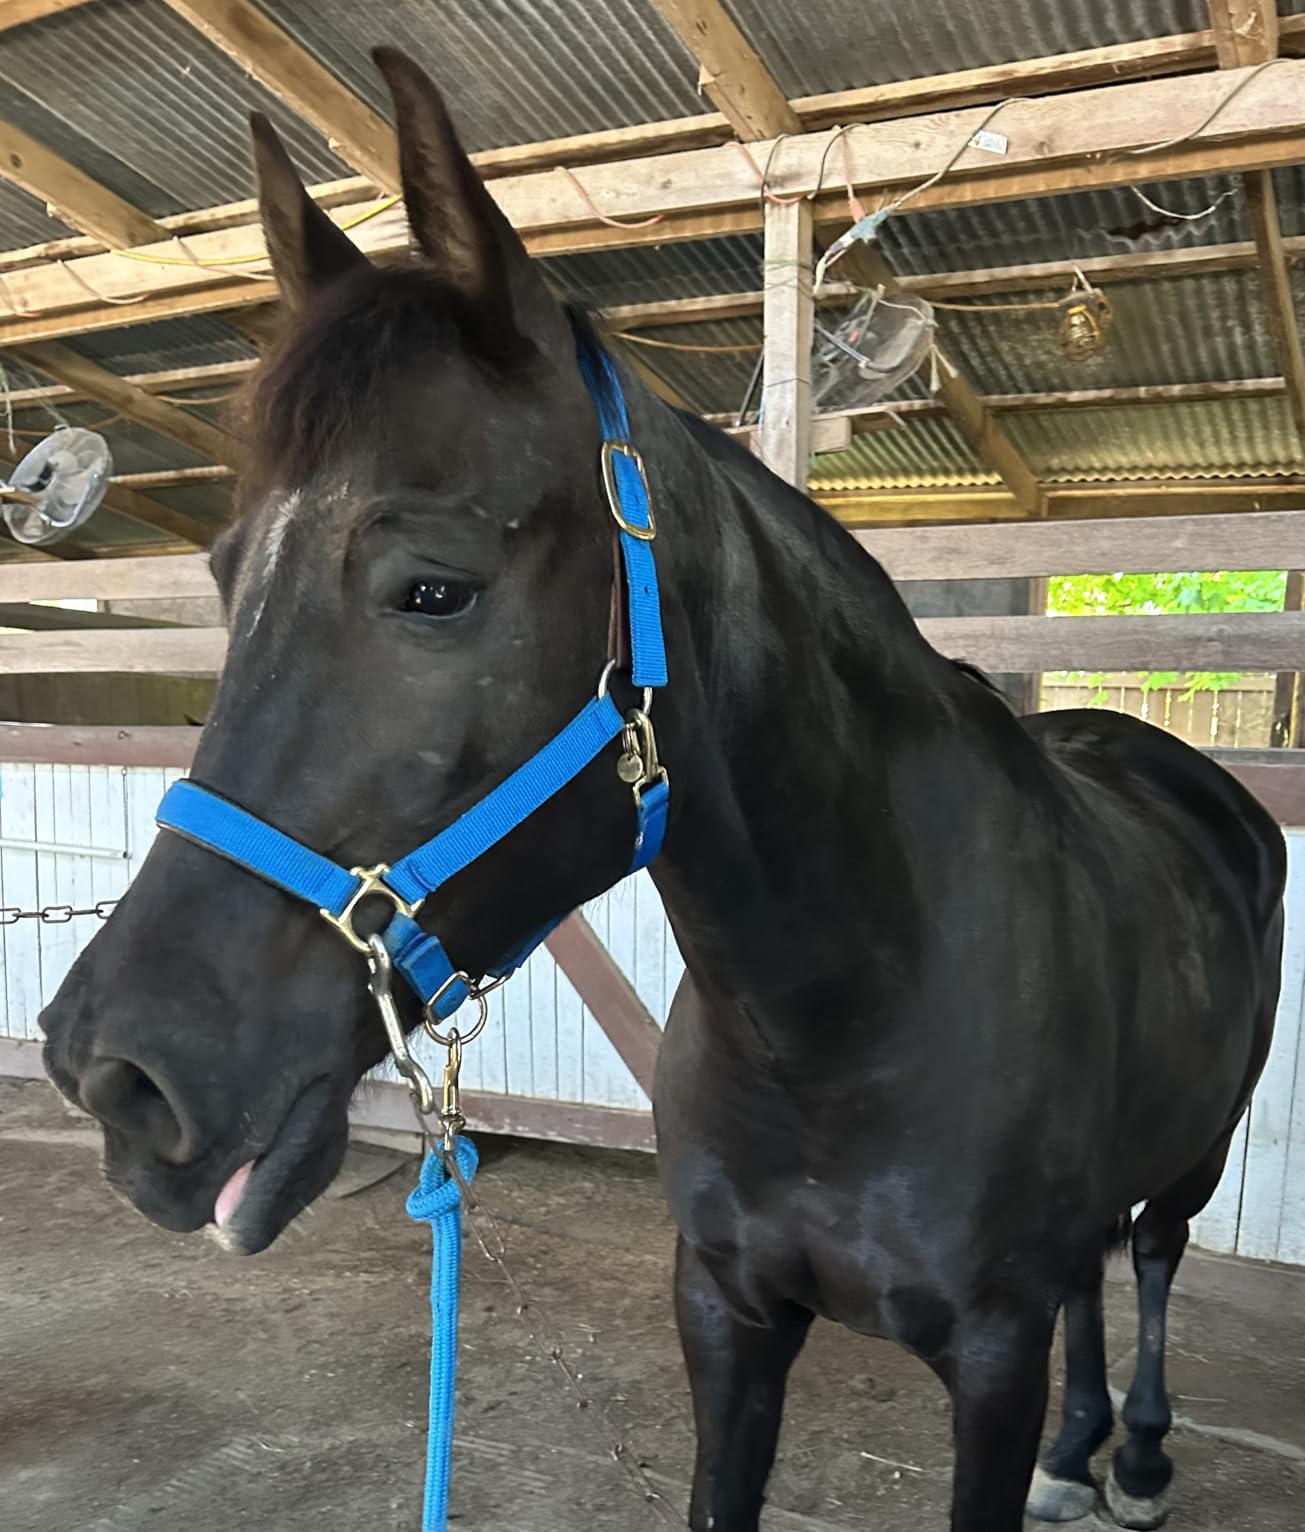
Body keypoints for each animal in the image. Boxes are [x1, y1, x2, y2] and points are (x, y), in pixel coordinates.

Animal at [39, 49, 1286, 1532]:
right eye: (226, 575)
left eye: (434, 588)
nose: (113, 1072)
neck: (848, 1014)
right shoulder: (725, 1313)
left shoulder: (991, 1354)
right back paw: (1079, 1443)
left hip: (1196, 1154)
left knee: (1147, 1261)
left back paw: (1134, 1451)